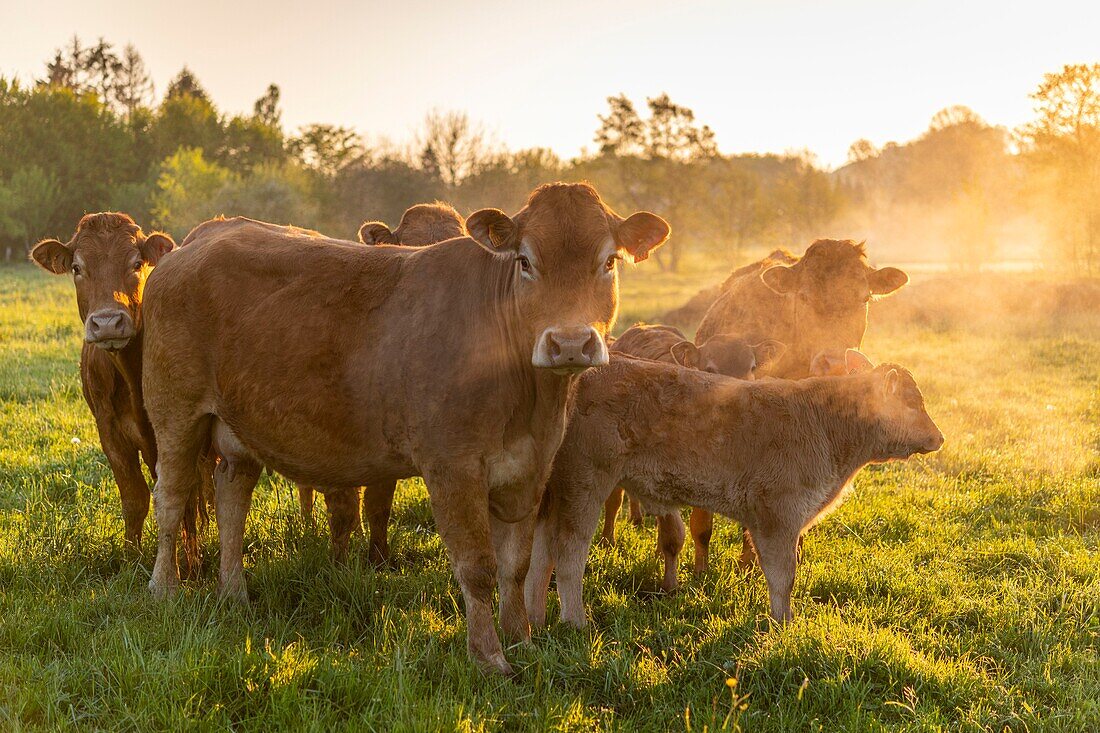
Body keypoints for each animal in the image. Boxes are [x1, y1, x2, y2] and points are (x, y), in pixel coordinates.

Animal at [30, 210, 205, 572]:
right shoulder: (108, 430)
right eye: (76, 267)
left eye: (136, 263)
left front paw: (189, 563)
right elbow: (134, 495)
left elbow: (184, 495)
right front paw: (132, 559)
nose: (108, 322)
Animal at [139, 182, 668, 673]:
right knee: (171, 498)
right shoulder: (452, 467)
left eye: (609, 261)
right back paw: (163, 589)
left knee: (233, 497)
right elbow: (478, 567)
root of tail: (201, 239)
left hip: (238, 429)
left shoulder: (529, 469)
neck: (529, 403)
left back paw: (234, 593)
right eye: (525, 261)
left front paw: (522, 640)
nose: (570, 343)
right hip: (175, 412)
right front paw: (489, 657)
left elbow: (515, 567)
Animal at [525, 352, 946, 625]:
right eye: (912, 402)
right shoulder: (777, 518)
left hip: (558, 493)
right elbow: (783, 576)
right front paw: (784, 624)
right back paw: (576, 622)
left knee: (543, 550)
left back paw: (535, 619)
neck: (824, 423)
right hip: (585, 485)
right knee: (569, 550)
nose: (939, 437)